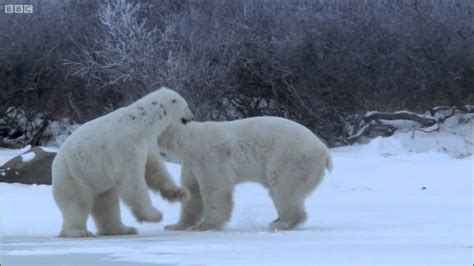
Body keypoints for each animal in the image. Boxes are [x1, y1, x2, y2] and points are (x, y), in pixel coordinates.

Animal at [52, 87, 193, 237]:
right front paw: (154, 215)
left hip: (99, 184)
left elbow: (154, 169)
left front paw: (179, 193)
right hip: (74, 175)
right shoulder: (125, 144)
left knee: (107, 203)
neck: (142, 123)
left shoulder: (148, 144)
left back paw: (123, 229)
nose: (192, 117)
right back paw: (78, 232)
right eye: (187, 106)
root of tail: (55, 164)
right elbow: (131, 178)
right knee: (77, 203)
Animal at [157, 116, 332, 231]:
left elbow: (215, 189)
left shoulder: (208, 157)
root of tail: (324, 150)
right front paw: (175, 225)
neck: (189, 141)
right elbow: (192, 191)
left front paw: (205, 226)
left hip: (290, 158)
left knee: (284, 188)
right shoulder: (191, 164)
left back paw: (281, 223)